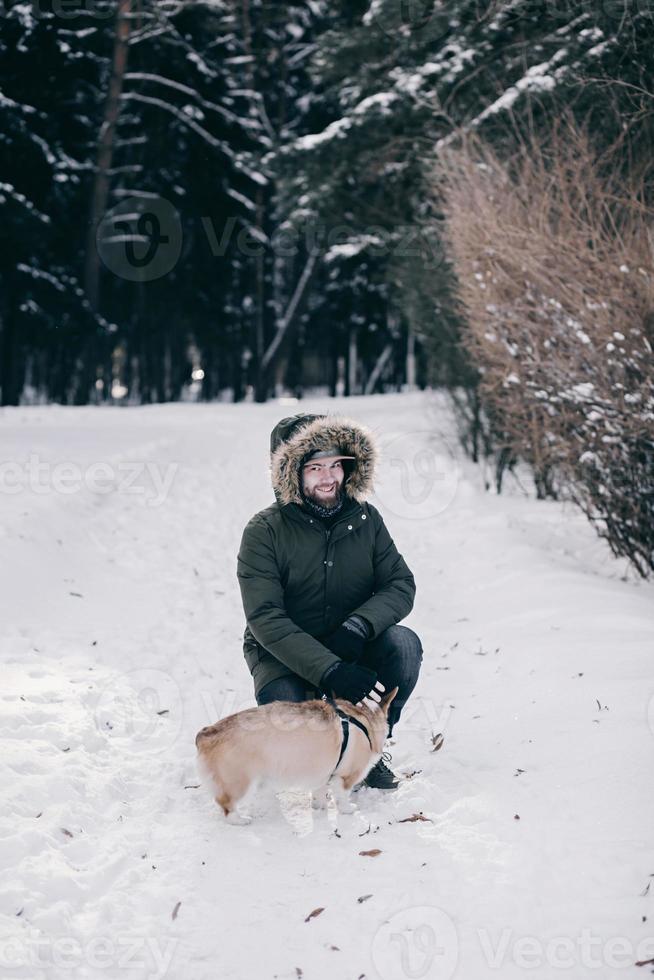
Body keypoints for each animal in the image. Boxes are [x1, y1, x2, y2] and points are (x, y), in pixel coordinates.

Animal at [195, 684, 400, 824]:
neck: (364, 718)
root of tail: (206, 734)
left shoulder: (323, 776)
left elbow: (319, 795)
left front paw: (319, 808)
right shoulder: (344, 778)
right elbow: (342, 797)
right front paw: (348, 810)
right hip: (240, 782)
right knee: (226, 804)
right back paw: (240, 820)